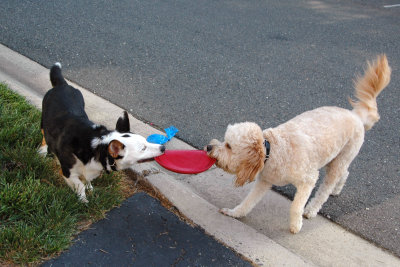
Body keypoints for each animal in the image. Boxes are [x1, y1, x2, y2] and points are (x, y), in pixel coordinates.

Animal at [39, 63, 165, 203]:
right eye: (143, 148)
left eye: (146, 141)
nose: (163, 147)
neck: (98, 148)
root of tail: (63, 84)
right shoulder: (68, 172)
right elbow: (80, 186)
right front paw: (83, 201)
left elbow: (86, 180)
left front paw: (90, 189)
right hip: (44, 121)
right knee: (44, 136)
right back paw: (42, 152)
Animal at [206, 55, 390, 234]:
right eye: (224, 140)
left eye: (229, 146)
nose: (209, 147)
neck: (273, 150)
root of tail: (356, 115)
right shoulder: (264, 181)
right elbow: (248, 202)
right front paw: (234, 213)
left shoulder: (308, 179)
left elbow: (295, 206)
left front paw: (296, 225)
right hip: (335, 158)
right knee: (344, 173)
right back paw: (337, 189)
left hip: (340, 159)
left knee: (325, 189)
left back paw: (311, 209)